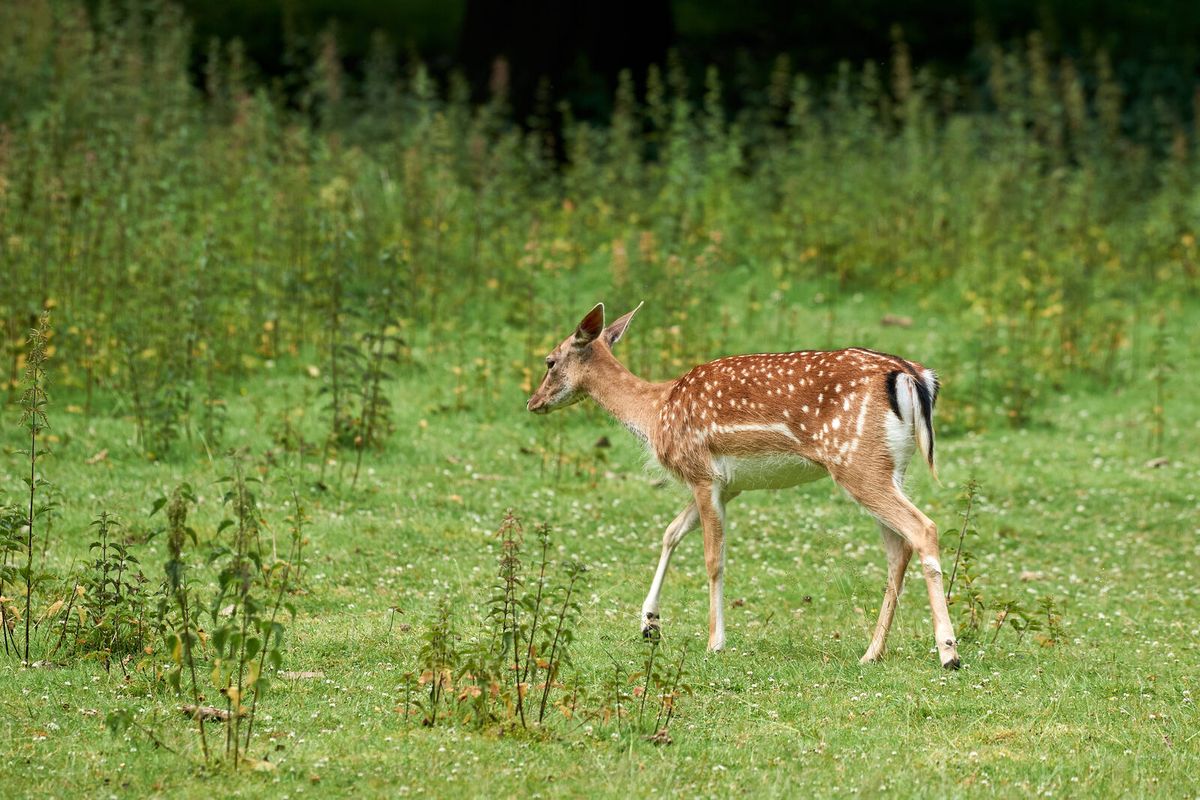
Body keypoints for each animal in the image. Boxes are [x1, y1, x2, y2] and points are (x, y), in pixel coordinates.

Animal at [526, 303, 960, 669]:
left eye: (549, 361)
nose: (533, 402)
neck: (655, 413)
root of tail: (912, 375)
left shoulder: (702, 473)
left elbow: (712, 559)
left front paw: (714, 642)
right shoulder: (728, 485)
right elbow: (671, 532)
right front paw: (649, 623)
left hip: (856, 462)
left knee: (923, 528)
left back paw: (948, 653)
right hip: (889, 467)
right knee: (899, 549)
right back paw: (872, 652)